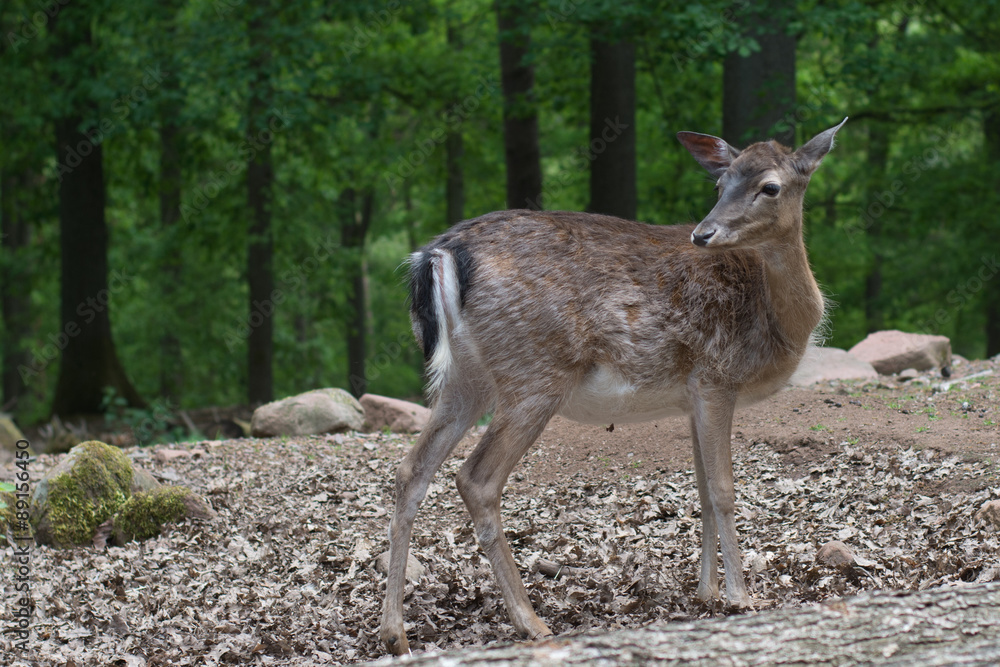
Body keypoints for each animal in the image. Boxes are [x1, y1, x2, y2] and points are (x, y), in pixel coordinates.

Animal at [379, 119, 847, 654]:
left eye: (769, 187)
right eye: (720, 183)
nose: (703, 233)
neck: (781, 321)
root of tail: (440, 252)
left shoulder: (691, 395)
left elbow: (702, 491)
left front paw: (706, 592)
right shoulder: (716, 377)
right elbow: (724, 489)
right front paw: (740, 597)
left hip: (465, 380)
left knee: (411, 470)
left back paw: (394, 633)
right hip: (534, 374)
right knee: (476, 479)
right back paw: (531, 621)